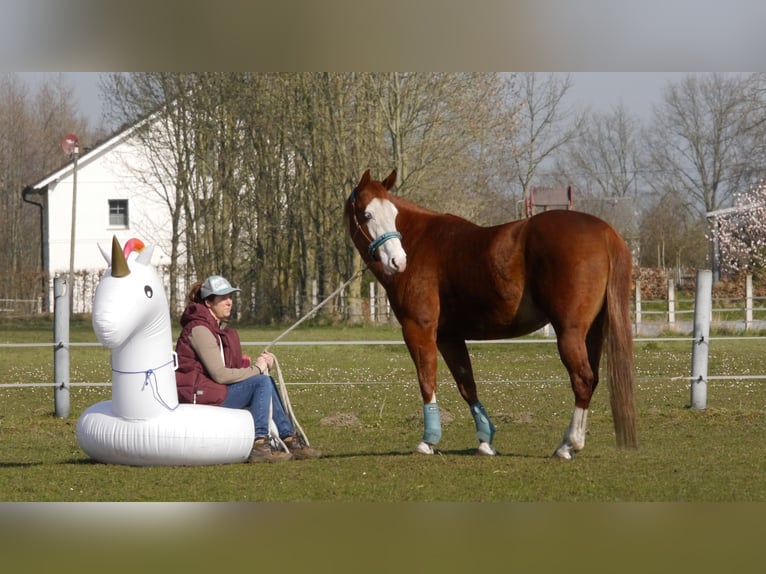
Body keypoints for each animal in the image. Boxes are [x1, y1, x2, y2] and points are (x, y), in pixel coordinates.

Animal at [345, 169, 637, 459]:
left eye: (393, 214)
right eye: (367, 215)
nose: (398, 261)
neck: (421, 243)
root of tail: (605, 231)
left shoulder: (418, 328)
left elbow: (427, 380)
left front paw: (428, 440)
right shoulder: (449, 337)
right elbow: (467, 384)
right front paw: (486, 440)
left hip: (570, 332)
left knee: (583, 379)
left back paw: (569, 444)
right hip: (594, 332)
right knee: (593, 378)